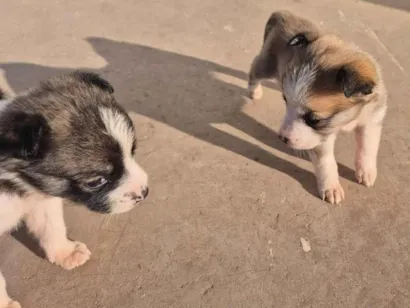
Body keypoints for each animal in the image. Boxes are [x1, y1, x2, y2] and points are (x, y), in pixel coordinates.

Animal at [0, 71, 149, 306]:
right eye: (95, 181)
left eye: (132, 152)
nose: (144, 192)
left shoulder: (42, 201)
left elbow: (52, 227)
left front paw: (65, 252)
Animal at [248, 10, 386, 205]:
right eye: (285, 100)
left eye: (313, 119)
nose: (282, 138)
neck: (348, 117)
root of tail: (283, 14)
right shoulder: (320, 139)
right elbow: (325, 162)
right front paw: (331, 187)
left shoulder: (371, 121)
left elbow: (368, 147)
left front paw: (366, 171)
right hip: (268, 65)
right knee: (254, 68)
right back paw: (254, 91)